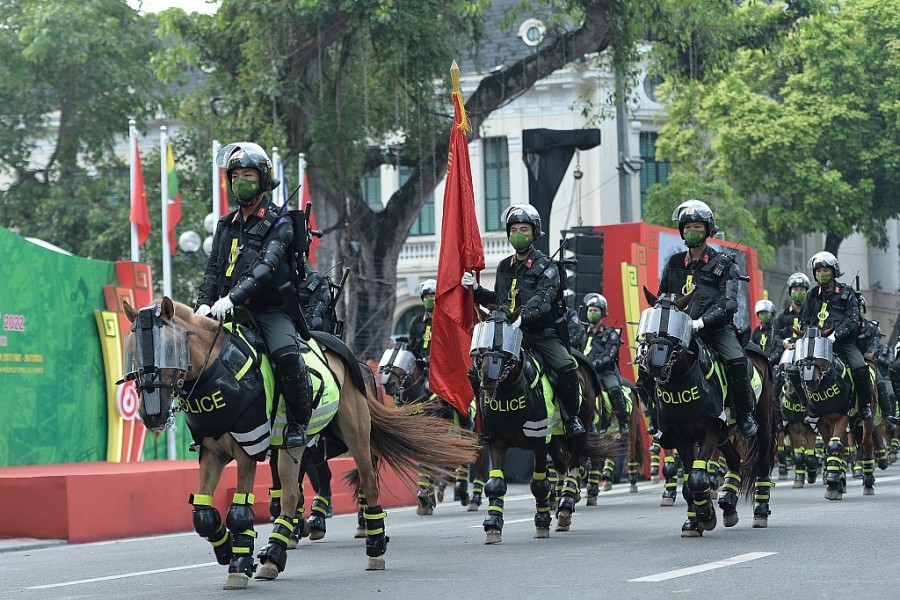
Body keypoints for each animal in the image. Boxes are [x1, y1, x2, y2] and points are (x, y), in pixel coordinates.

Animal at [123, 298, 482, 588]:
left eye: (169, 346)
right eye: (133, 352)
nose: (151, 413)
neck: (217, 372)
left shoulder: (248, 450)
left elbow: (239, 511)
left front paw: (239, 564)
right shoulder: (213, 453)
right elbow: (203, 514)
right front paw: (227, 550)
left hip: (354, 436)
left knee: (367, 483)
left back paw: (374, 545)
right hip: (294, 444)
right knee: (293, 494)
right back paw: (276, 552)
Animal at [464, 304, 620, 544]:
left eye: (507, 345)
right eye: (481, 344)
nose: (487, 378)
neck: (512, 389)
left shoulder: (538, 442)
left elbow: (539, 484)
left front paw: (542, 523)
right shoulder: (497, 442)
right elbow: (496, 484)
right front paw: (493, 525)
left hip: (579, 431)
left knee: (573, 465)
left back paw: (565, 505)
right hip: (555, 440)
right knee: (562, 467)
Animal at [636, 288, 776, 536]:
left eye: (677, 329)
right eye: (649, 328)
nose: (654, 364)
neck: (683, 379)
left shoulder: (709, 430)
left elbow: (698, 478)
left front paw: (706, 516)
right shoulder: (680, 436)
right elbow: (689, 482)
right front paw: (694, 522)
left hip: (762, 423)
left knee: (762, 463)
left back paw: (759, 511)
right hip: (725, 434)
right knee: (734, 459)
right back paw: (728, 504)